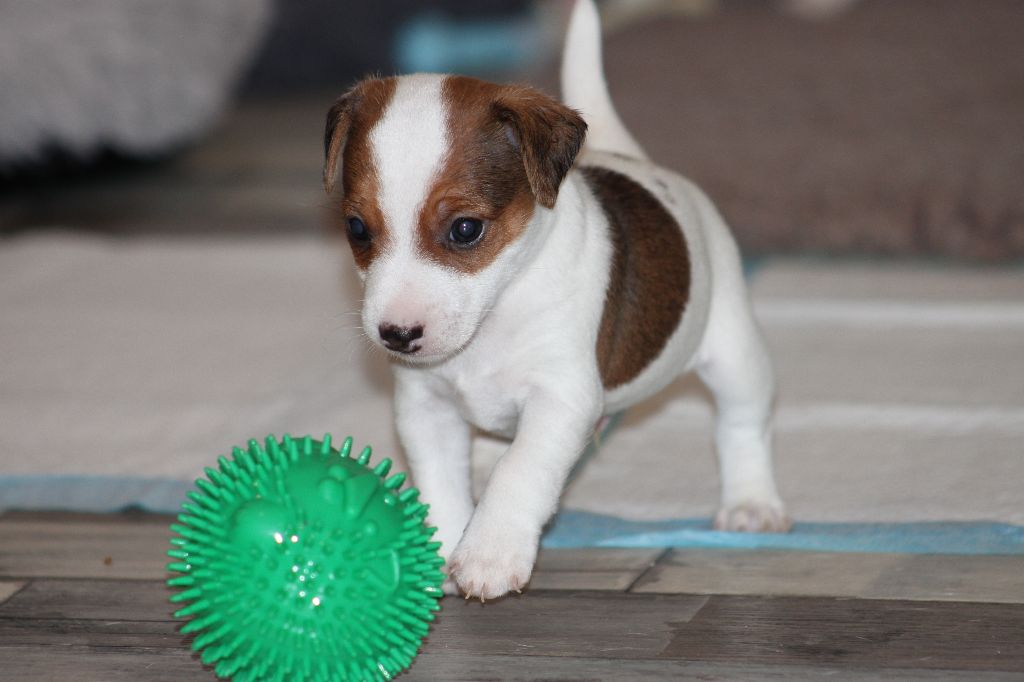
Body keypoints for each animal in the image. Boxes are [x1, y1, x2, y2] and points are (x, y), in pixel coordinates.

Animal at [323, 0, 786, 598]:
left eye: (465, 229)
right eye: (357, 229)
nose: (397, 335)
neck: (494, 314)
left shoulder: (560, 397)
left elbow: (521, 469)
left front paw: (490, 551)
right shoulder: (425, 406)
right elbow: (440, 482)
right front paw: (444, 549)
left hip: (733, 351)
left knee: (741, 424)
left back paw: (751, 502)